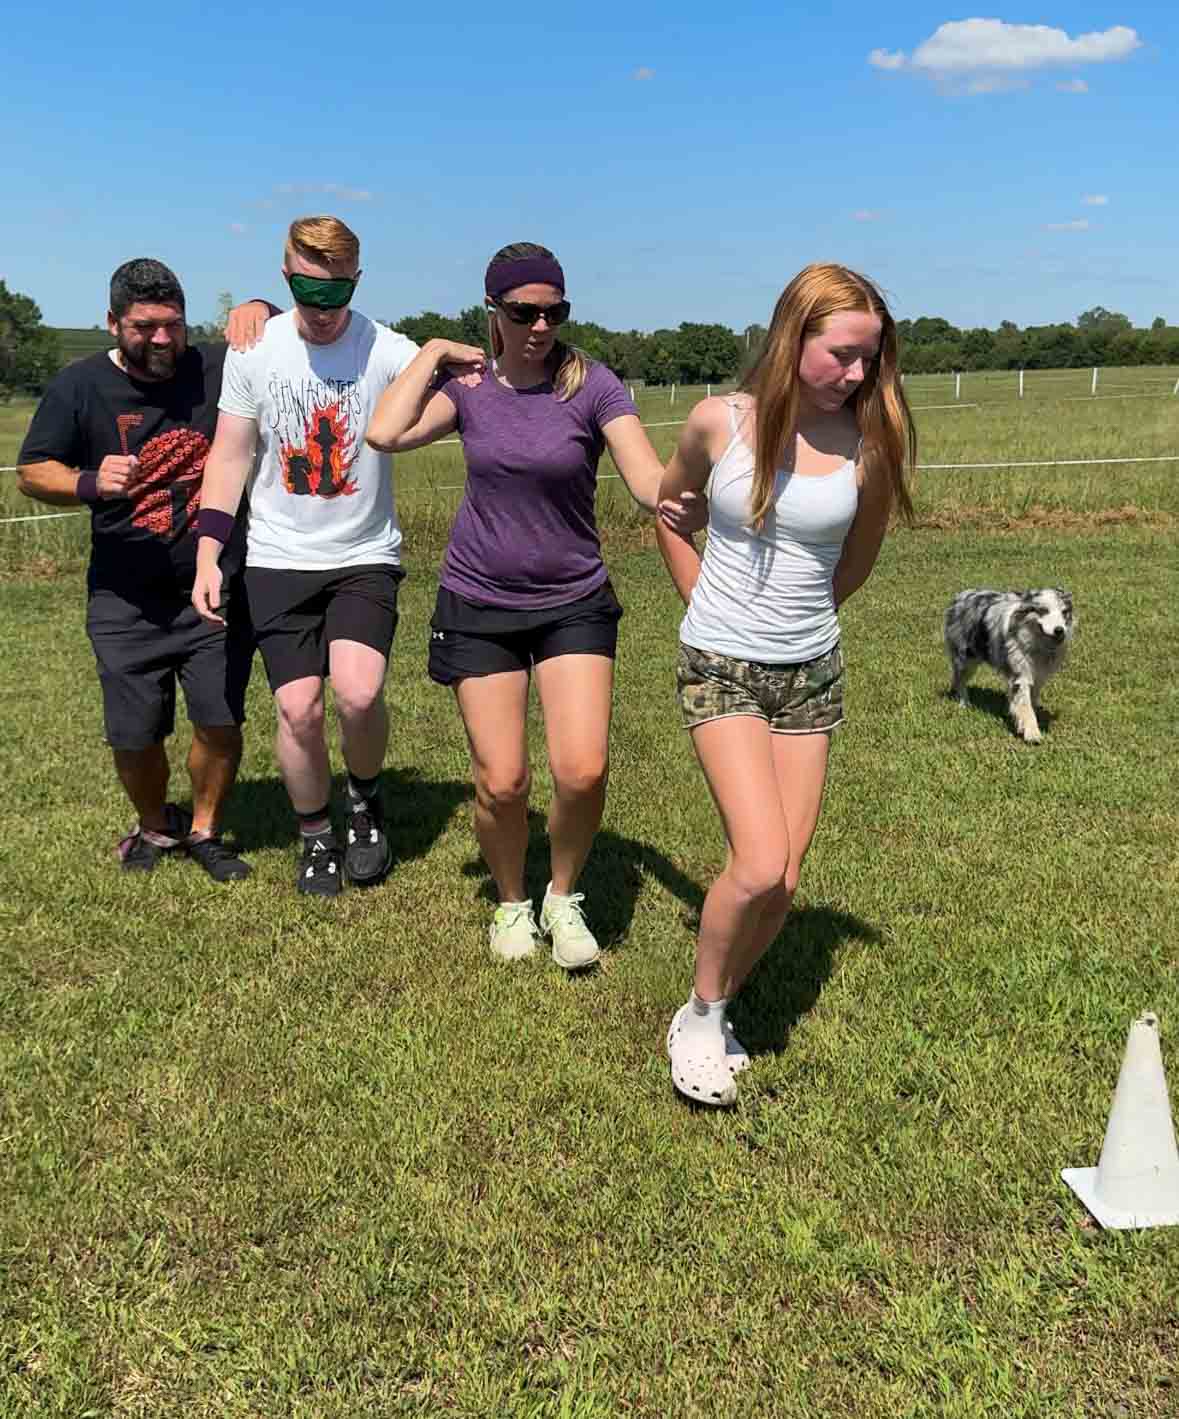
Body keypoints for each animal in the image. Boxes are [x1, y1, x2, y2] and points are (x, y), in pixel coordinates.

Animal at [947, 587, 1072, 743]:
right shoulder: (1020, 675)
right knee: (960, 679)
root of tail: (962, 594)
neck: (1037, 645)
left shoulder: (1039, 676)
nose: (1059, 630)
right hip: (966, 658)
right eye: (1043, 610)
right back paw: (964, 703)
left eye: (1064, 612)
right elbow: (1025, 705)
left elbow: (1031, 700)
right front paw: (1032, 733)